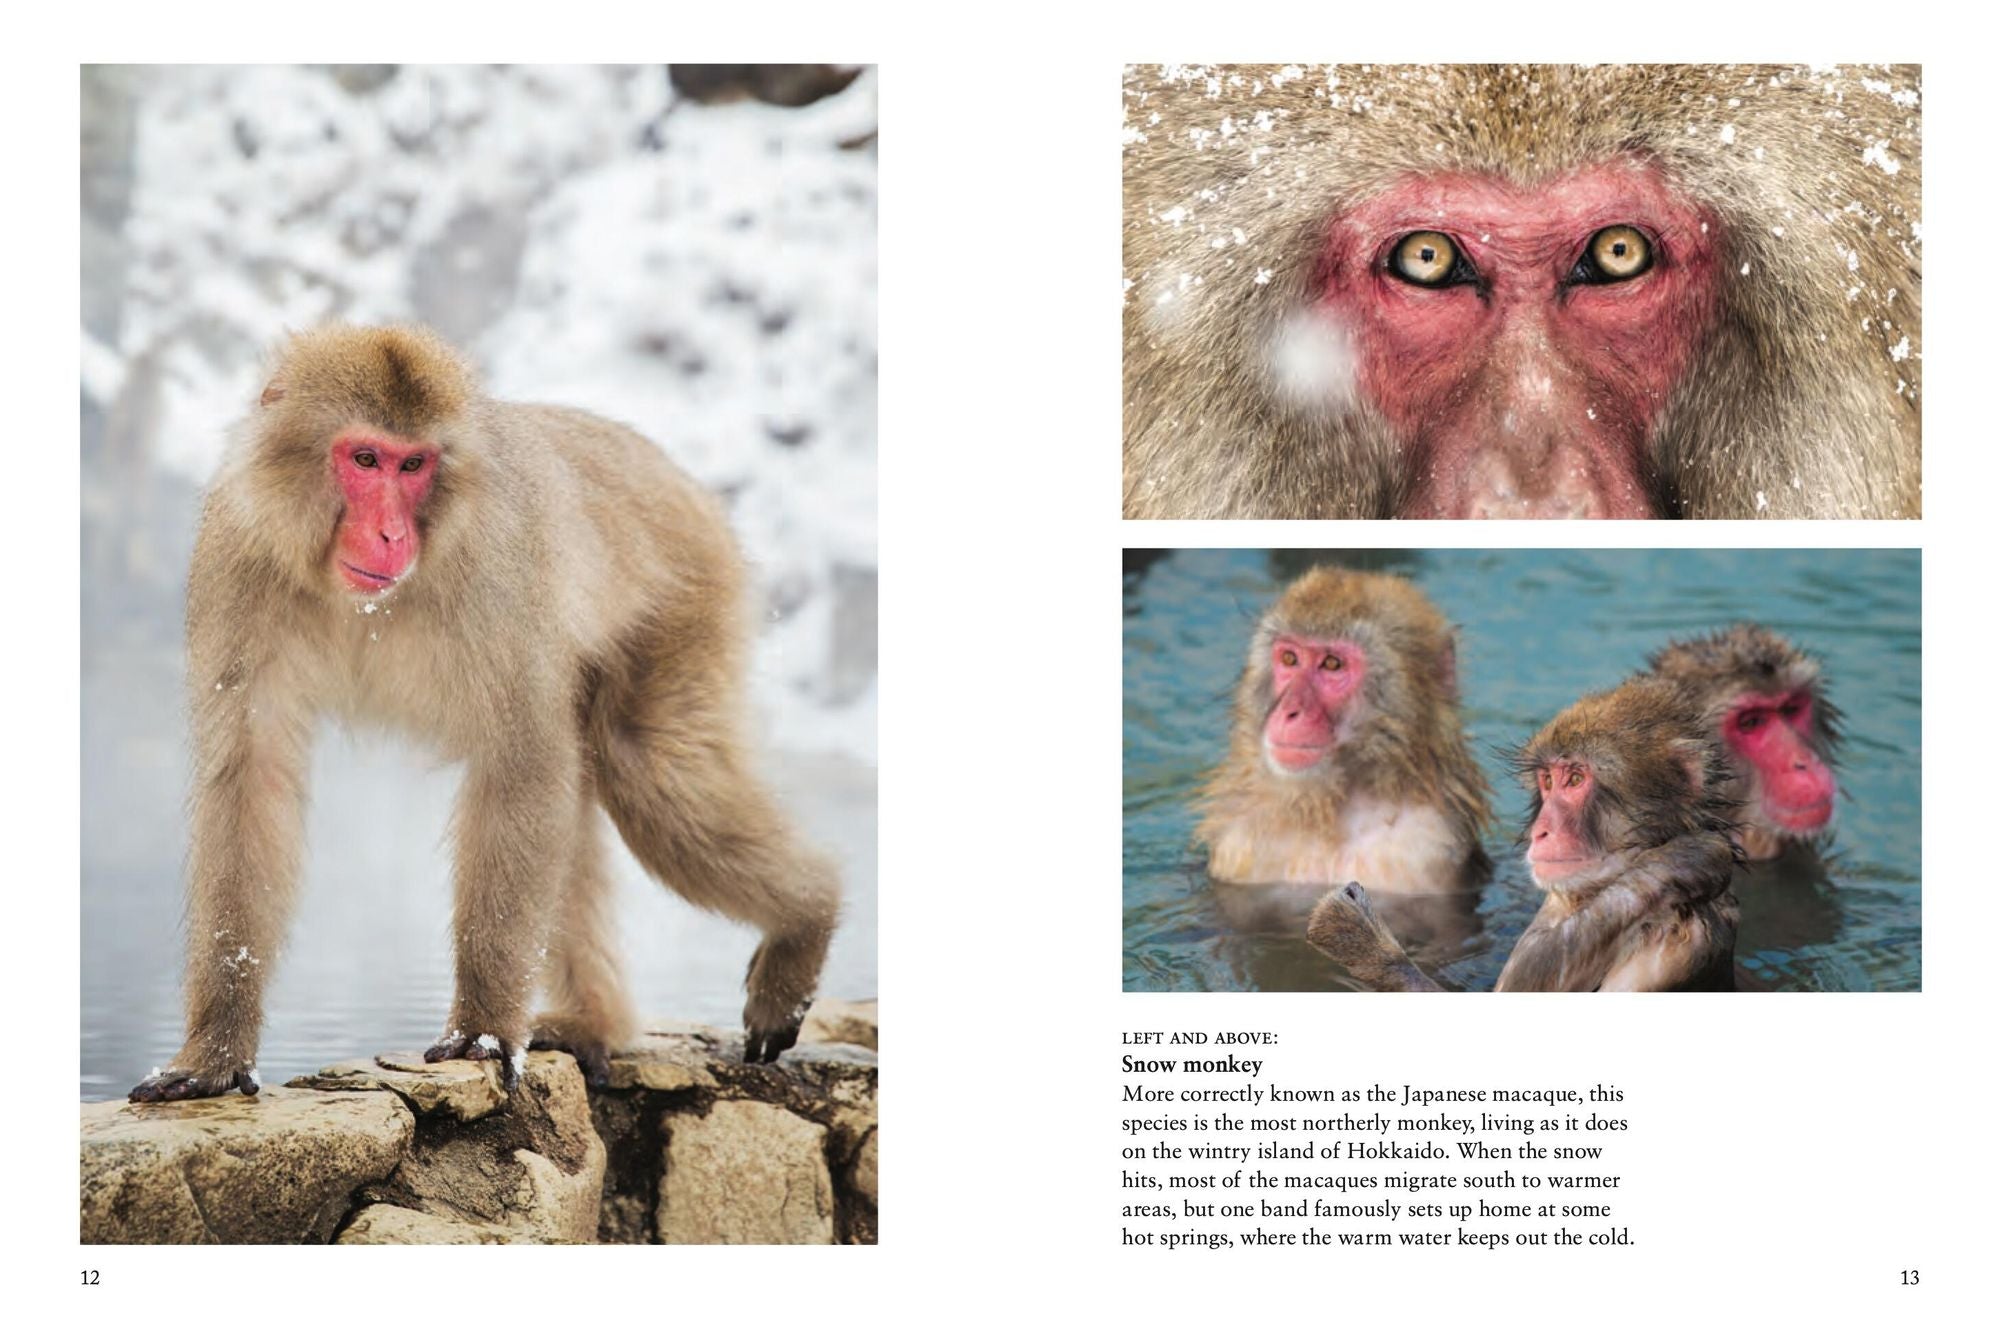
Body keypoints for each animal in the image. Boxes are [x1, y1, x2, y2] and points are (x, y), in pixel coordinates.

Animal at [129, 325, 840, 1103]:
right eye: (366, 458)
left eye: (414, 464)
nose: (391, 535)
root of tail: (675, 473)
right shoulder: (242, 558)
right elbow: (249, 778)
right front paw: (215, 1052)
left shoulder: (498, 569)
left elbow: (520, 762)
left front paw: (484, 1030)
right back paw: (594, 1019)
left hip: (689, 596)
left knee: (644, 769)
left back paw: (809, 917)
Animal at [1194, 567, 1489, 960]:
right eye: (1290, 659)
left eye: (1332, 664)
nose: (1289, 711)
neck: (1328, 807)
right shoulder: (1237, 846)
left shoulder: (1425, 851)